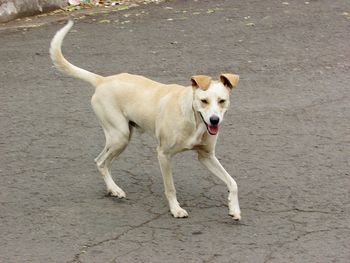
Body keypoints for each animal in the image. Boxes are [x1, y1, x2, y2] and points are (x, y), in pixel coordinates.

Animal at [49, 20, 241, 222]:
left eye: (222, 101)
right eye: (204, 101)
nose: (214, 120)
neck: (193, 120)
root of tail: (103, 80)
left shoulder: (206, 156)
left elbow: (233, 182)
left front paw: (234, 209)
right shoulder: (163, 155)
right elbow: (170, 188)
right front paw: (175, 209)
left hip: (122, 137)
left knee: (103, 162)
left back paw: (112, 189)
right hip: (120, 136)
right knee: (100, 162)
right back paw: (115, 188)